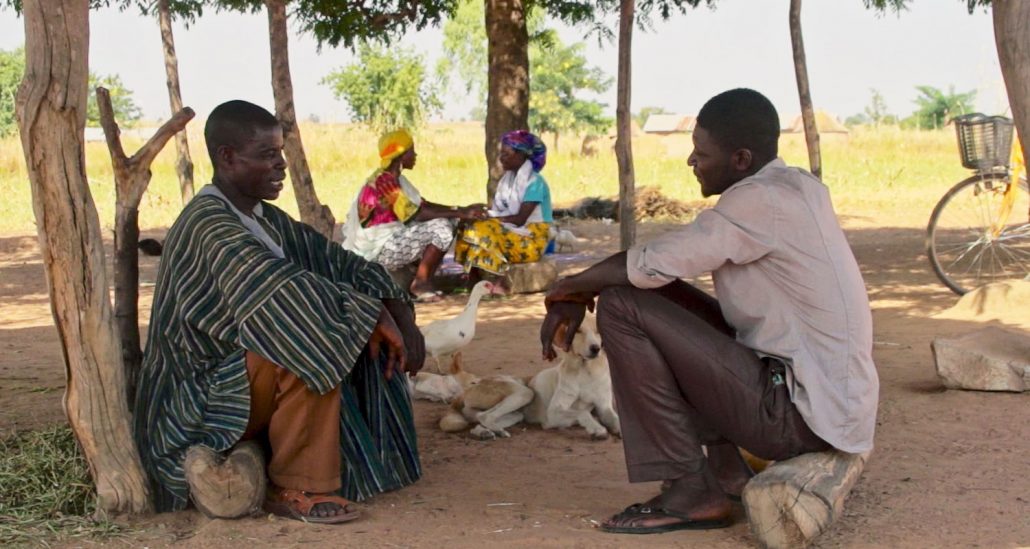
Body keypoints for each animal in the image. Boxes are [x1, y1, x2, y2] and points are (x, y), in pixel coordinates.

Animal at [432, 315, 622, 438]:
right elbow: (583, 412)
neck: (585, 371)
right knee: (485, 416)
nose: (595, 348)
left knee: (481, 420)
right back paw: (495, 431)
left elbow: (616, 419)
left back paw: (485, 432)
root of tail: (471, 387)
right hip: (524, 393)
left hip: (517, 414)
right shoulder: (554, 413)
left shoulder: (605, 407)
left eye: (598, 331)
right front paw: (597, 429)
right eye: (578, 331)